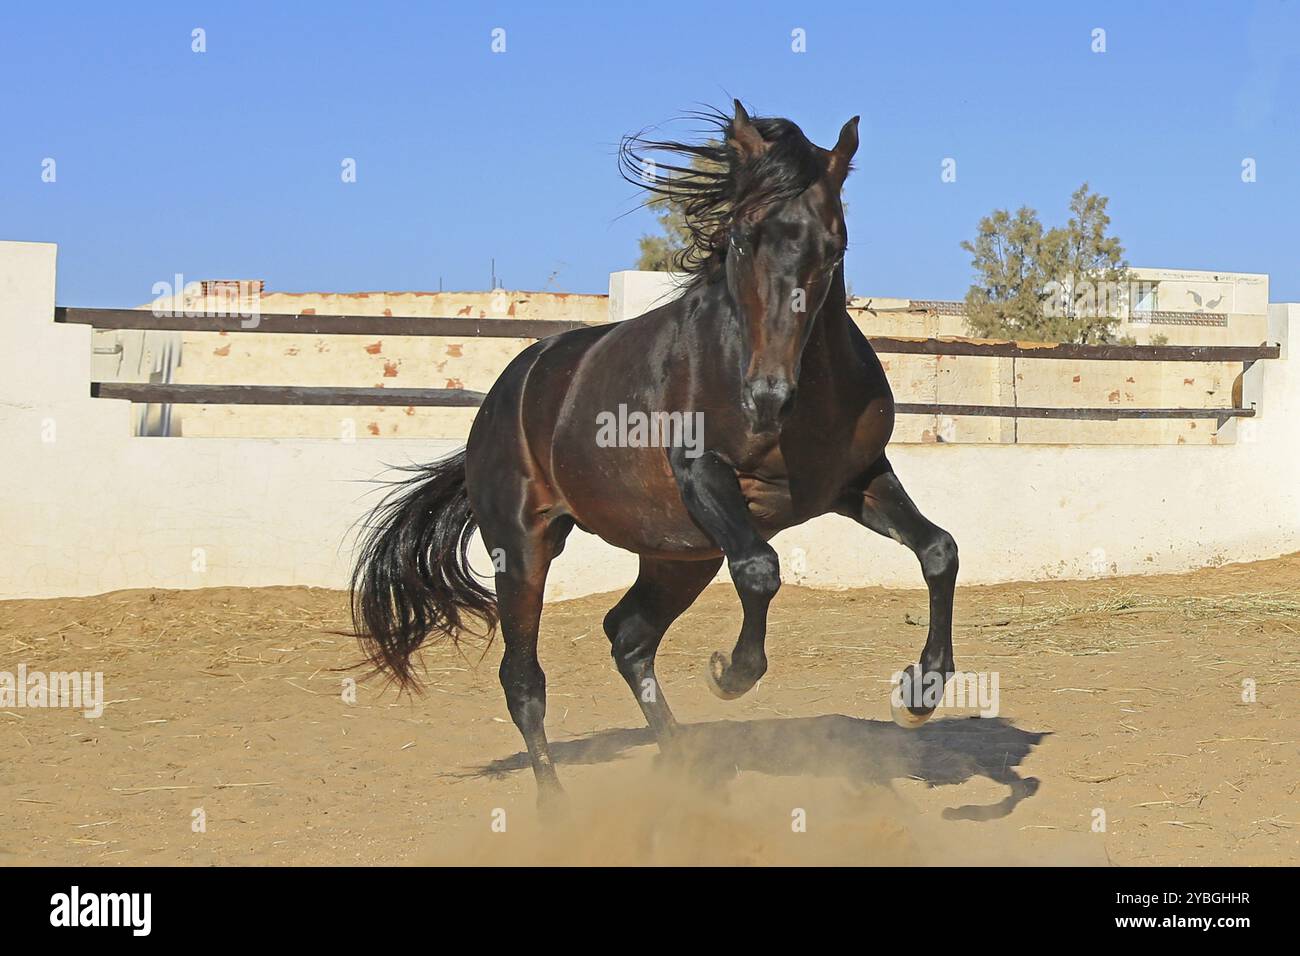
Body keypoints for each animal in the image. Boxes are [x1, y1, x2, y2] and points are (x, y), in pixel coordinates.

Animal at [351, 102, 961, 806]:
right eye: (742, 238)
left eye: (832, 247)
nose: (767, 396)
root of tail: (507, 393)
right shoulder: (705, 477)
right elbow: (761, 569)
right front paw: (729, 673)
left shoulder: (856, 481)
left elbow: (938, 550)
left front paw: (920, 695)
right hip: (526, 548)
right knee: (524, 679)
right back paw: (556, 808)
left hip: (680, 556)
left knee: (629, 637)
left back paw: (687, 773)